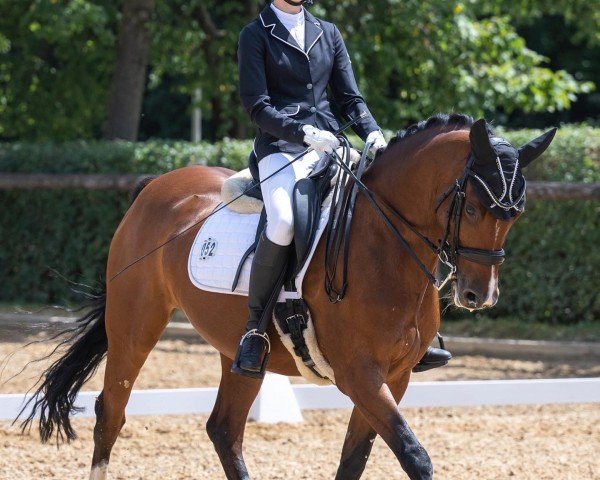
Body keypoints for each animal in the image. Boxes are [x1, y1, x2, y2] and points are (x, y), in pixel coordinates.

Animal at [21, 114, 556, 478]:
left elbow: (354, 461)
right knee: (111, 414)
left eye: (516, 212)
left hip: (238, 350)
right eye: (475, 207)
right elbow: (414, 456)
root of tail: (156, 185)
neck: (383, 245)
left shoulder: (396, 377)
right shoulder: (359, 375)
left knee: (224, 429)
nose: (477, 295)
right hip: (136, 325)